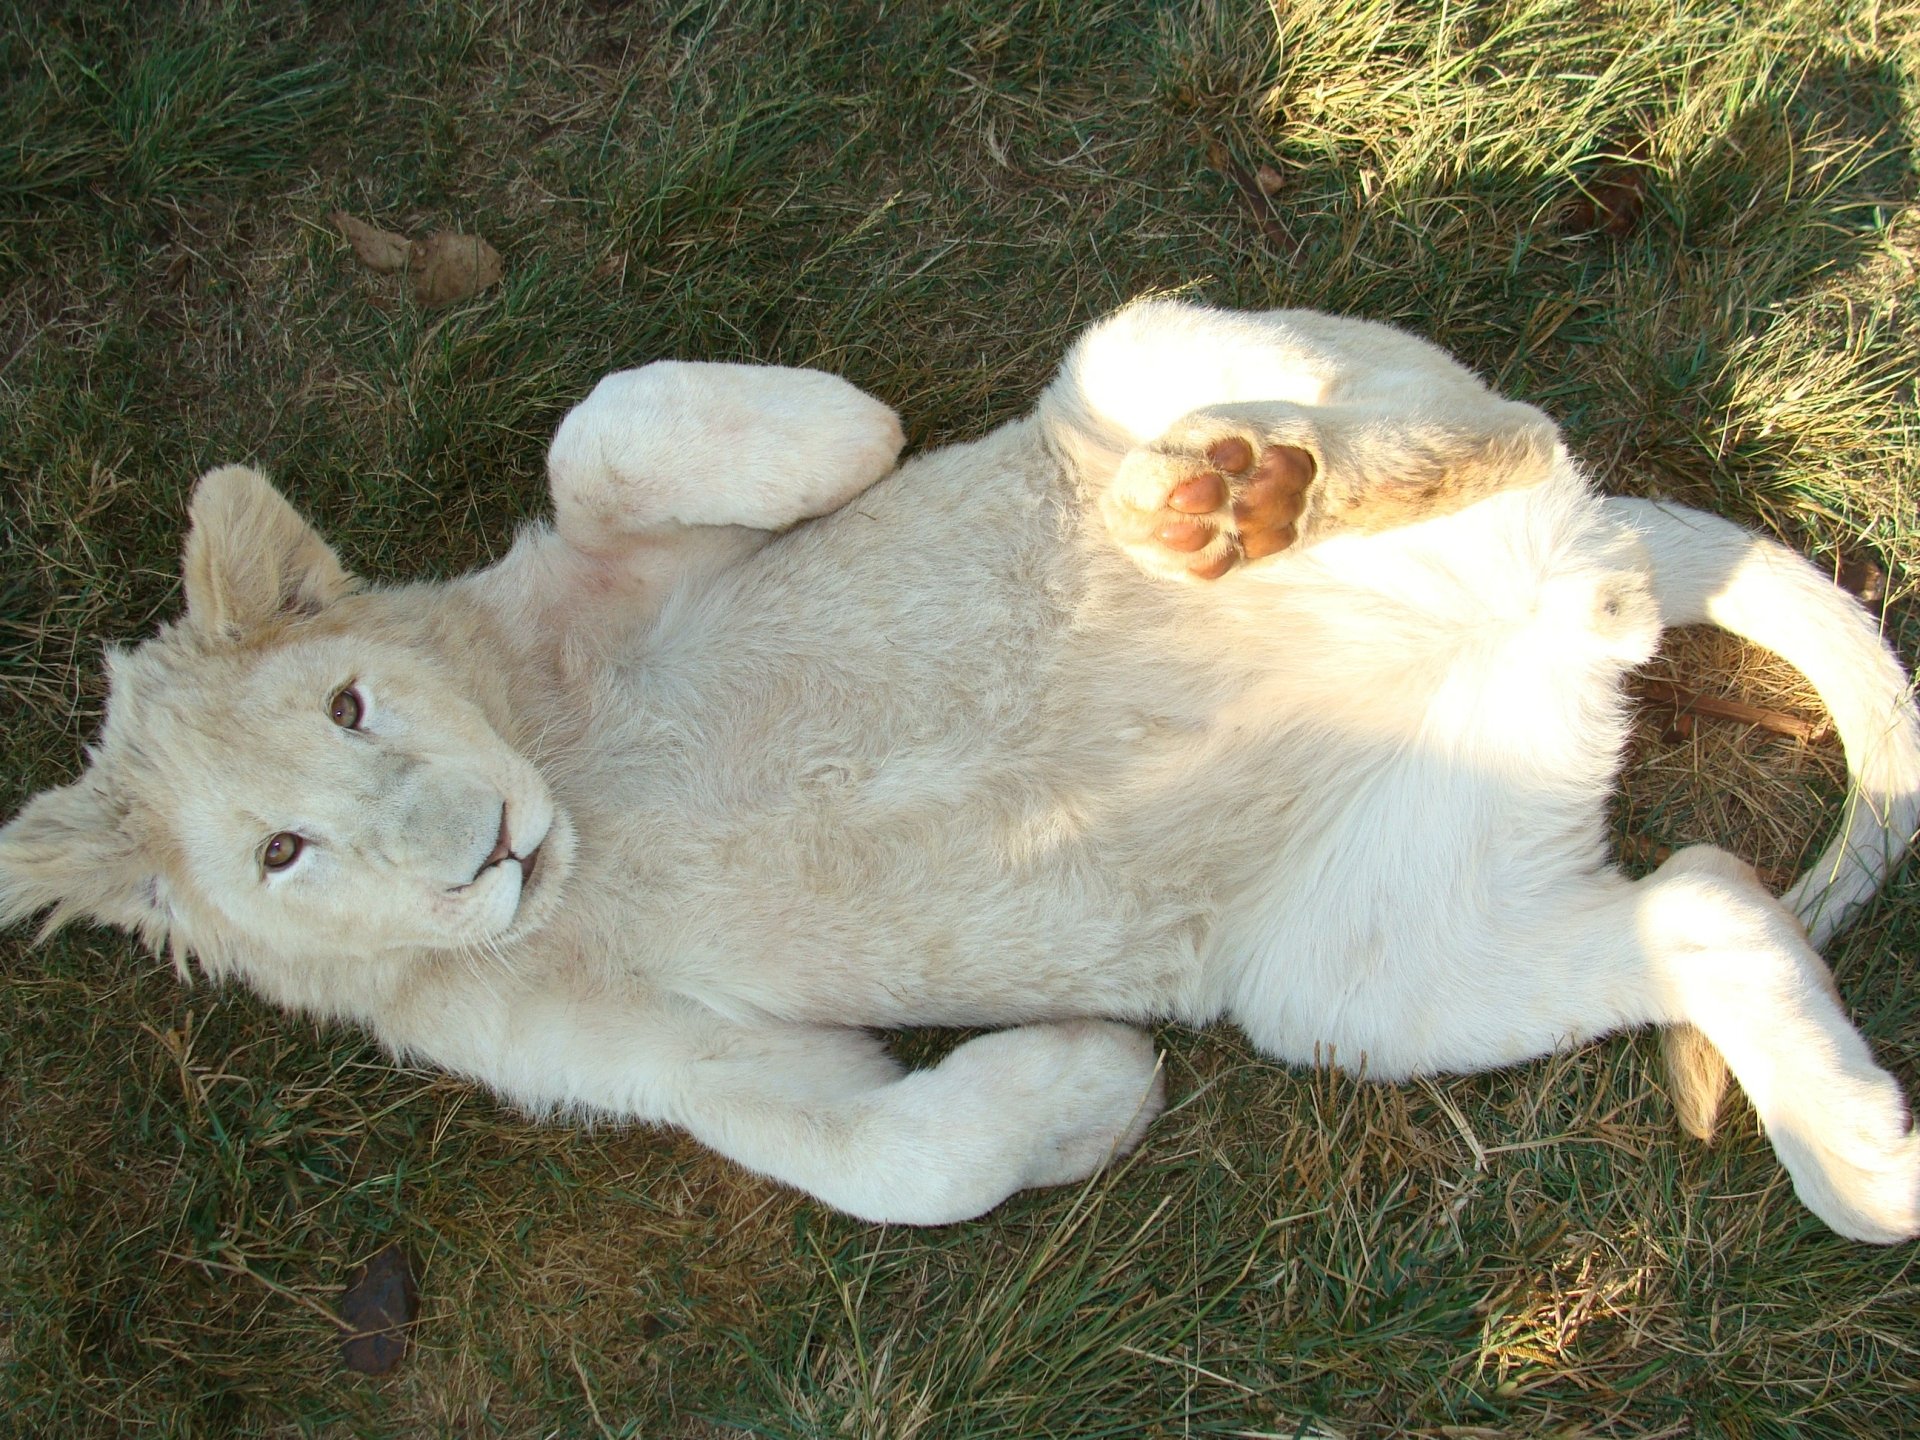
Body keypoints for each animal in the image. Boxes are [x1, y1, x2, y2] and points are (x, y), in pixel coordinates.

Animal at [4, 301, 1918, 1240]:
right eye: (278, 858)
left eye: (349, 705)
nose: (479, 845)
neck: (571, 795)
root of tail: (1577, 575)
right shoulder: (668, 1066)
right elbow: (883, 1164)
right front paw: (1089, 1090)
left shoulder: (620, 553)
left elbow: (609, 424)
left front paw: (843, 436)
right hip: (1371, 978)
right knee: (1707, 903)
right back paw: (1866, 1163)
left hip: (1146, 355)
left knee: (1483, 425)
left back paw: (1233, 496)